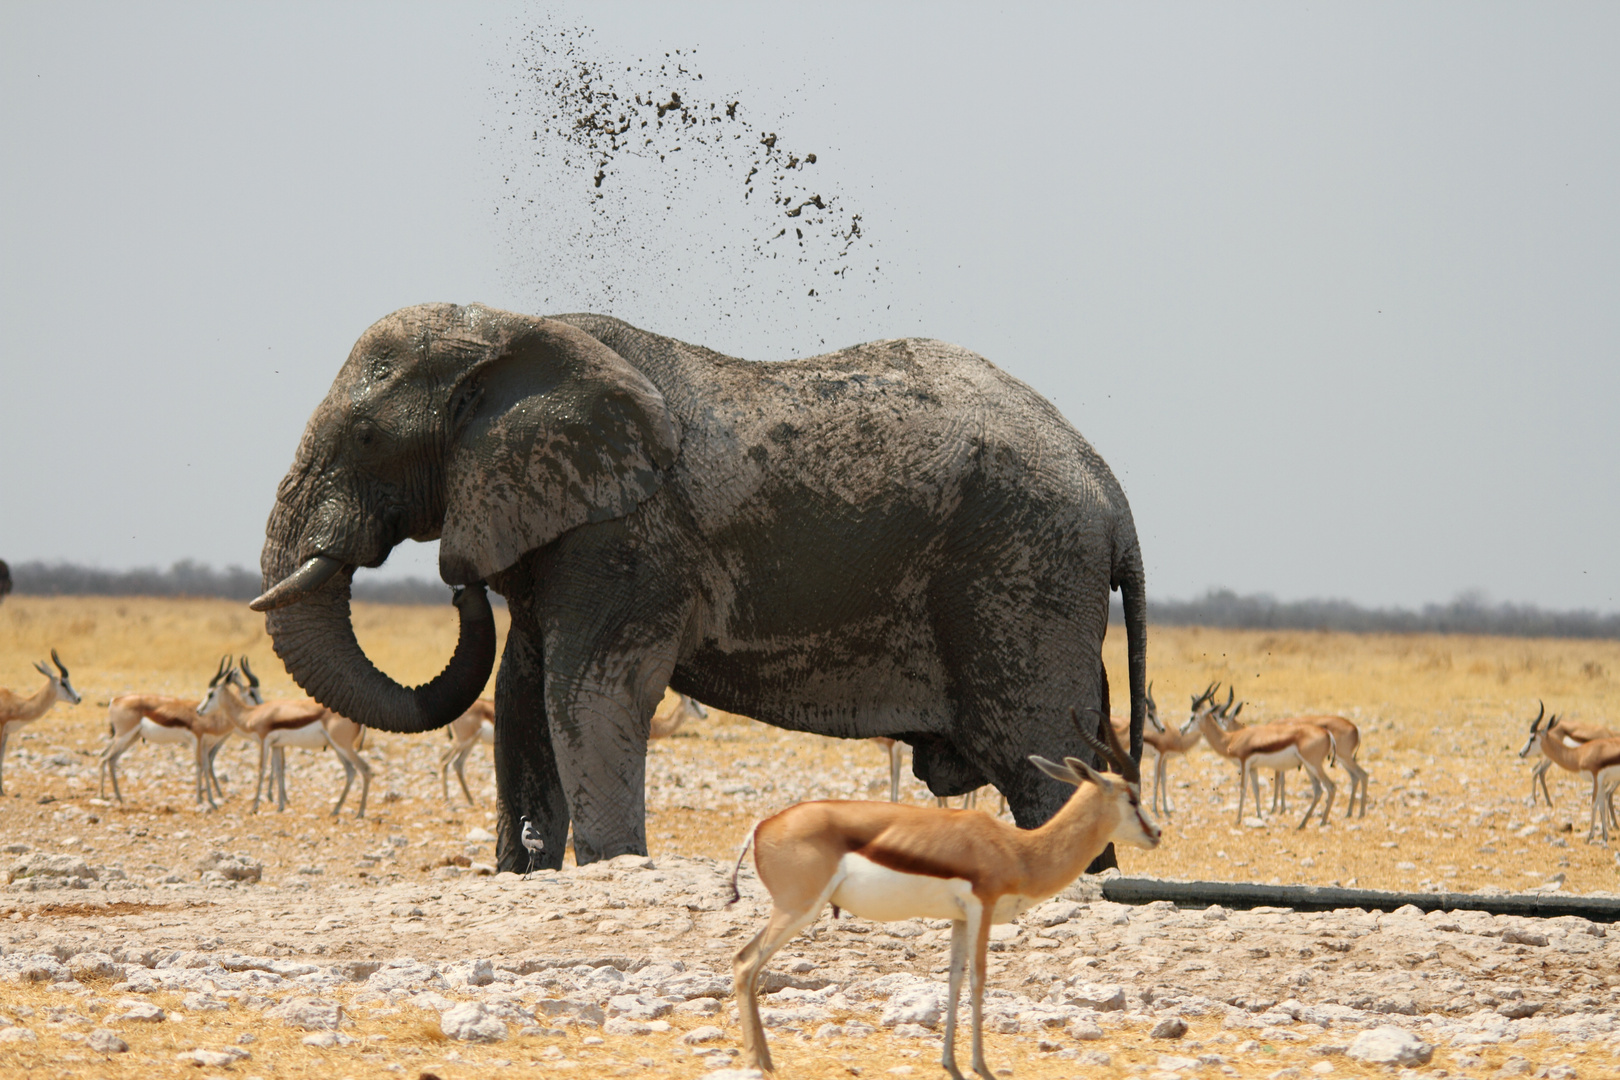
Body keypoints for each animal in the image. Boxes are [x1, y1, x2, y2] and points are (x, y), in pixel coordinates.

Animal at [252, 302, 1153, 867]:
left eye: (366, 437)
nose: (455, 585)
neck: (516, 334)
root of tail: (1112, 493)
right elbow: (522, 693)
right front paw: (524, 869)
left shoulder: (630, 537)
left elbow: (589, 693)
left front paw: (612, 865)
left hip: (1020, 572)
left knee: (1039, 764)